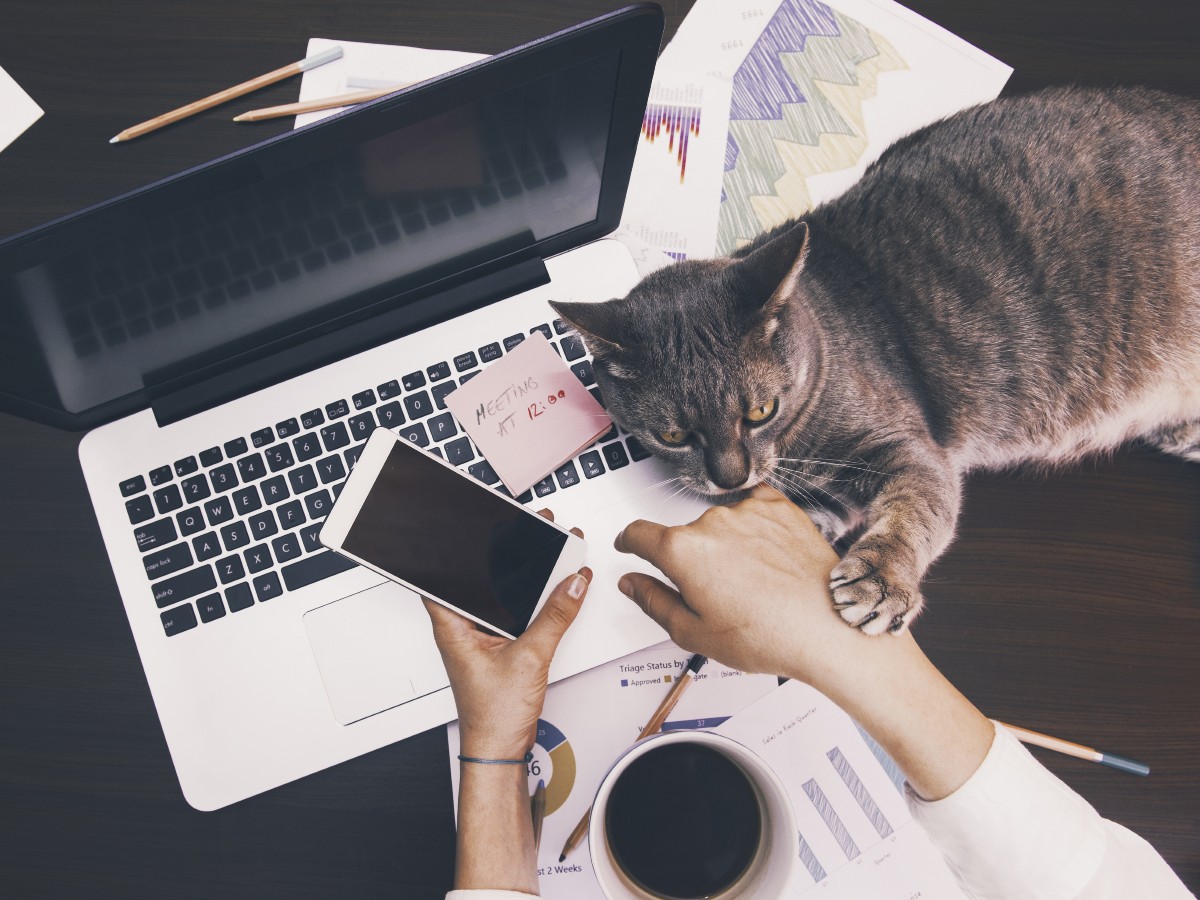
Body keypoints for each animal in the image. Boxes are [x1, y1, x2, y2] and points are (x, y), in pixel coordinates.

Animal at [549, 84, 1200, 633]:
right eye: (672, 434)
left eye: (761, 411)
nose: (730, 477)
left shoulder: (910, 446)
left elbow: (920, 508)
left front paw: (883, 578)